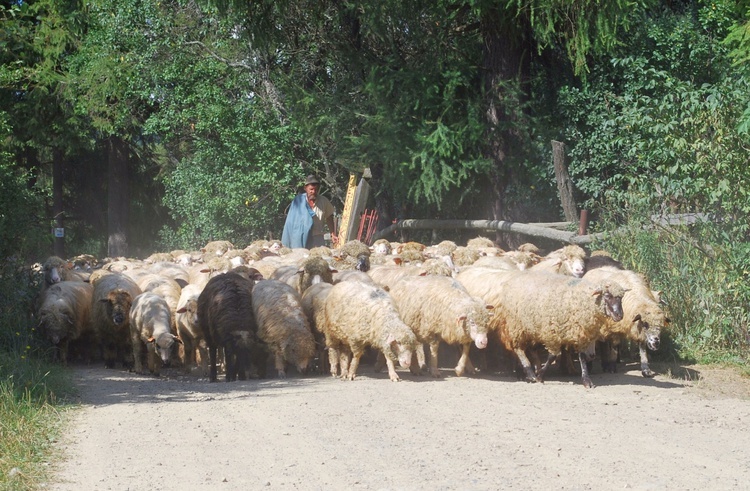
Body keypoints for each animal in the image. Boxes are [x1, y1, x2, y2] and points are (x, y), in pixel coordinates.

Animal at [458, 270, 628, 388]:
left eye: (621, 298)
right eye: (607, 295)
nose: (619, 315)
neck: (583, 300)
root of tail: (512, 280)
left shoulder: (579, 334)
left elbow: (581, 358)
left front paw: (587, 380)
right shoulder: (551, 333)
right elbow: (553, 356)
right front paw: (540, 375)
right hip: (517, 325)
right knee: (518, 349)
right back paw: (529, 372)